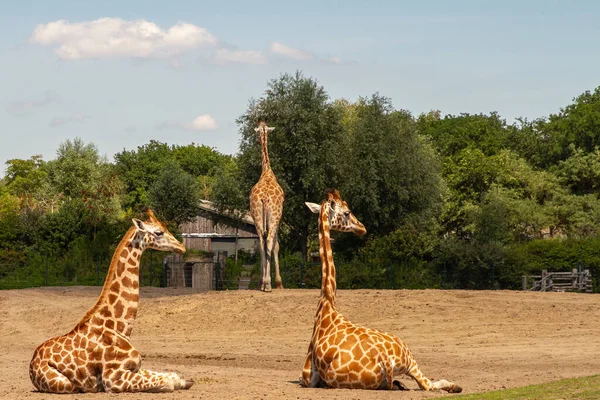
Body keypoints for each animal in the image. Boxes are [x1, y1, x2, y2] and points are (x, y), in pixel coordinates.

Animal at [29, 209, 193, 394]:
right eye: (158, 232)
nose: (182, 247)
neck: (120, 328)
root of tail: (32, 363)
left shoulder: (134, 368)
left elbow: (172, 376)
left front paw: (186, 381)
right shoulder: (112, 378)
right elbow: (168, 382)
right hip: (66, 384)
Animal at [302, 189, 462, 392]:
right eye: (346, 213)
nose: (362, 228)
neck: (327, 302)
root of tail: (384, 359)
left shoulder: (307, 377)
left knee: (424, 385)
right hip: (409, 359)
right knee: (428, 384)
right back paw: (454, 386)